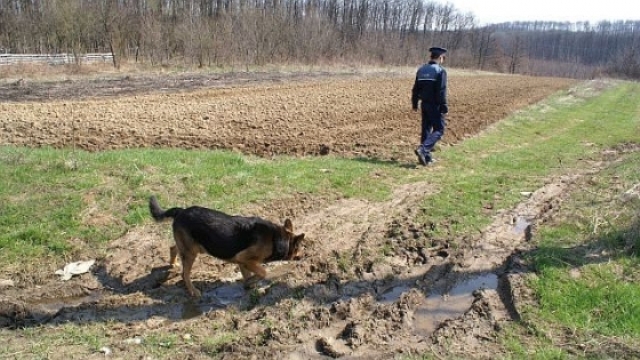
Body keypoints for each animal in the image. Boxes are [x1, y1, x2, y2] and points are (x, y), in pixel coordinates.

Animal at [150, 195, 304, 296]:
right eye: (299, 248)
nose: (303, 257)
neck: (277, 238)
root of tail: (181, 211)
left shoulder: (243, 262)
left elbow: (249, 276)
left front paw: (250, 286)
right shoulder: (245, 258)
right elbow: (263, 272)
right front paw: (252, 282)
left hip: (190, 247)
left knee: (173, 247)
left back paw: (173, 264)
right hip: (191, 252)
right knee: (184, 274)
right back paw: (193, 291)